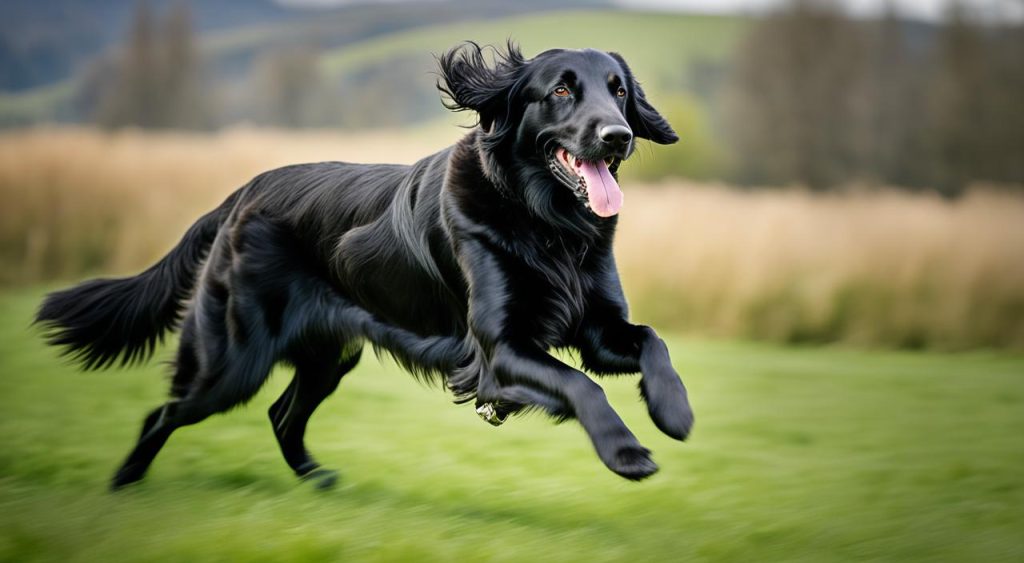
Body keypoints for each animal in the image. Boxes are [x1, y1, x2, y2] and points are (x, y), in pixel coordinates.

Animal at [39, 41, 696, 489]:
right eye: (560, 91)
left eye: (618, 90)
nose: (617, 135)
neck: (548, 225)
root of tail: (244, 192)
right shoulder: (500, 349)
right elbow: (582, 385)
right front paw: (625, 451)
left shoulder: (597, 327)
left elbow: (652, 341)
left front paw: (674, 410)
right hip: (231, 362)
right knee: (167, 411)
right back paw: (124, 481)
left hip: (329, 355)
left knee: (280, 414)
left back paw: (315, 479)